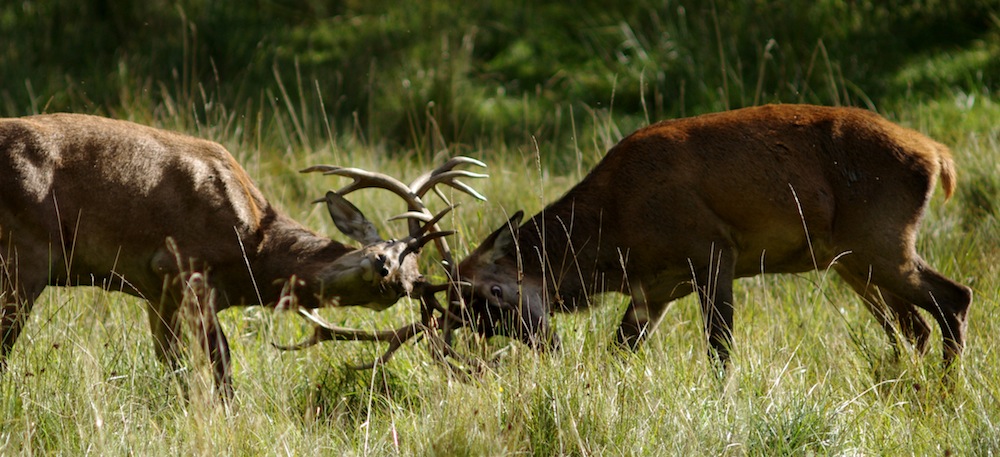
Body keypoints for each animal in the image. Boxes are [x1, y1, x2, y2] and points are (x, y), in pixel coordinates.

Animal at [0, 112, 484, 398]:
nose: (383, 269)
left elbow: (177, 364)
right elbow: (220, 365)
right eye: (395, 247)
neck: (253, 251)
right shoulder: (185, 267)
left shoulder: (157, 291)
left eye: (402, 287)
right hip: (25, 254)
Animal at [454, 104, 968, 366]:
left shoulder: (713, 250)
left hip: (880, 241)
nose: (546, 347)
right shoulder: (653, 290)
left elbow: (720, 352)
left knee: (954, 298)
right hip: (853, 261)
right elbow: (617, 354)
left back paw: (945, 394)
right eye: (468, 317)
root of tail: (937, 157)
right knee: (915, 328)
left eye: (494, 292)